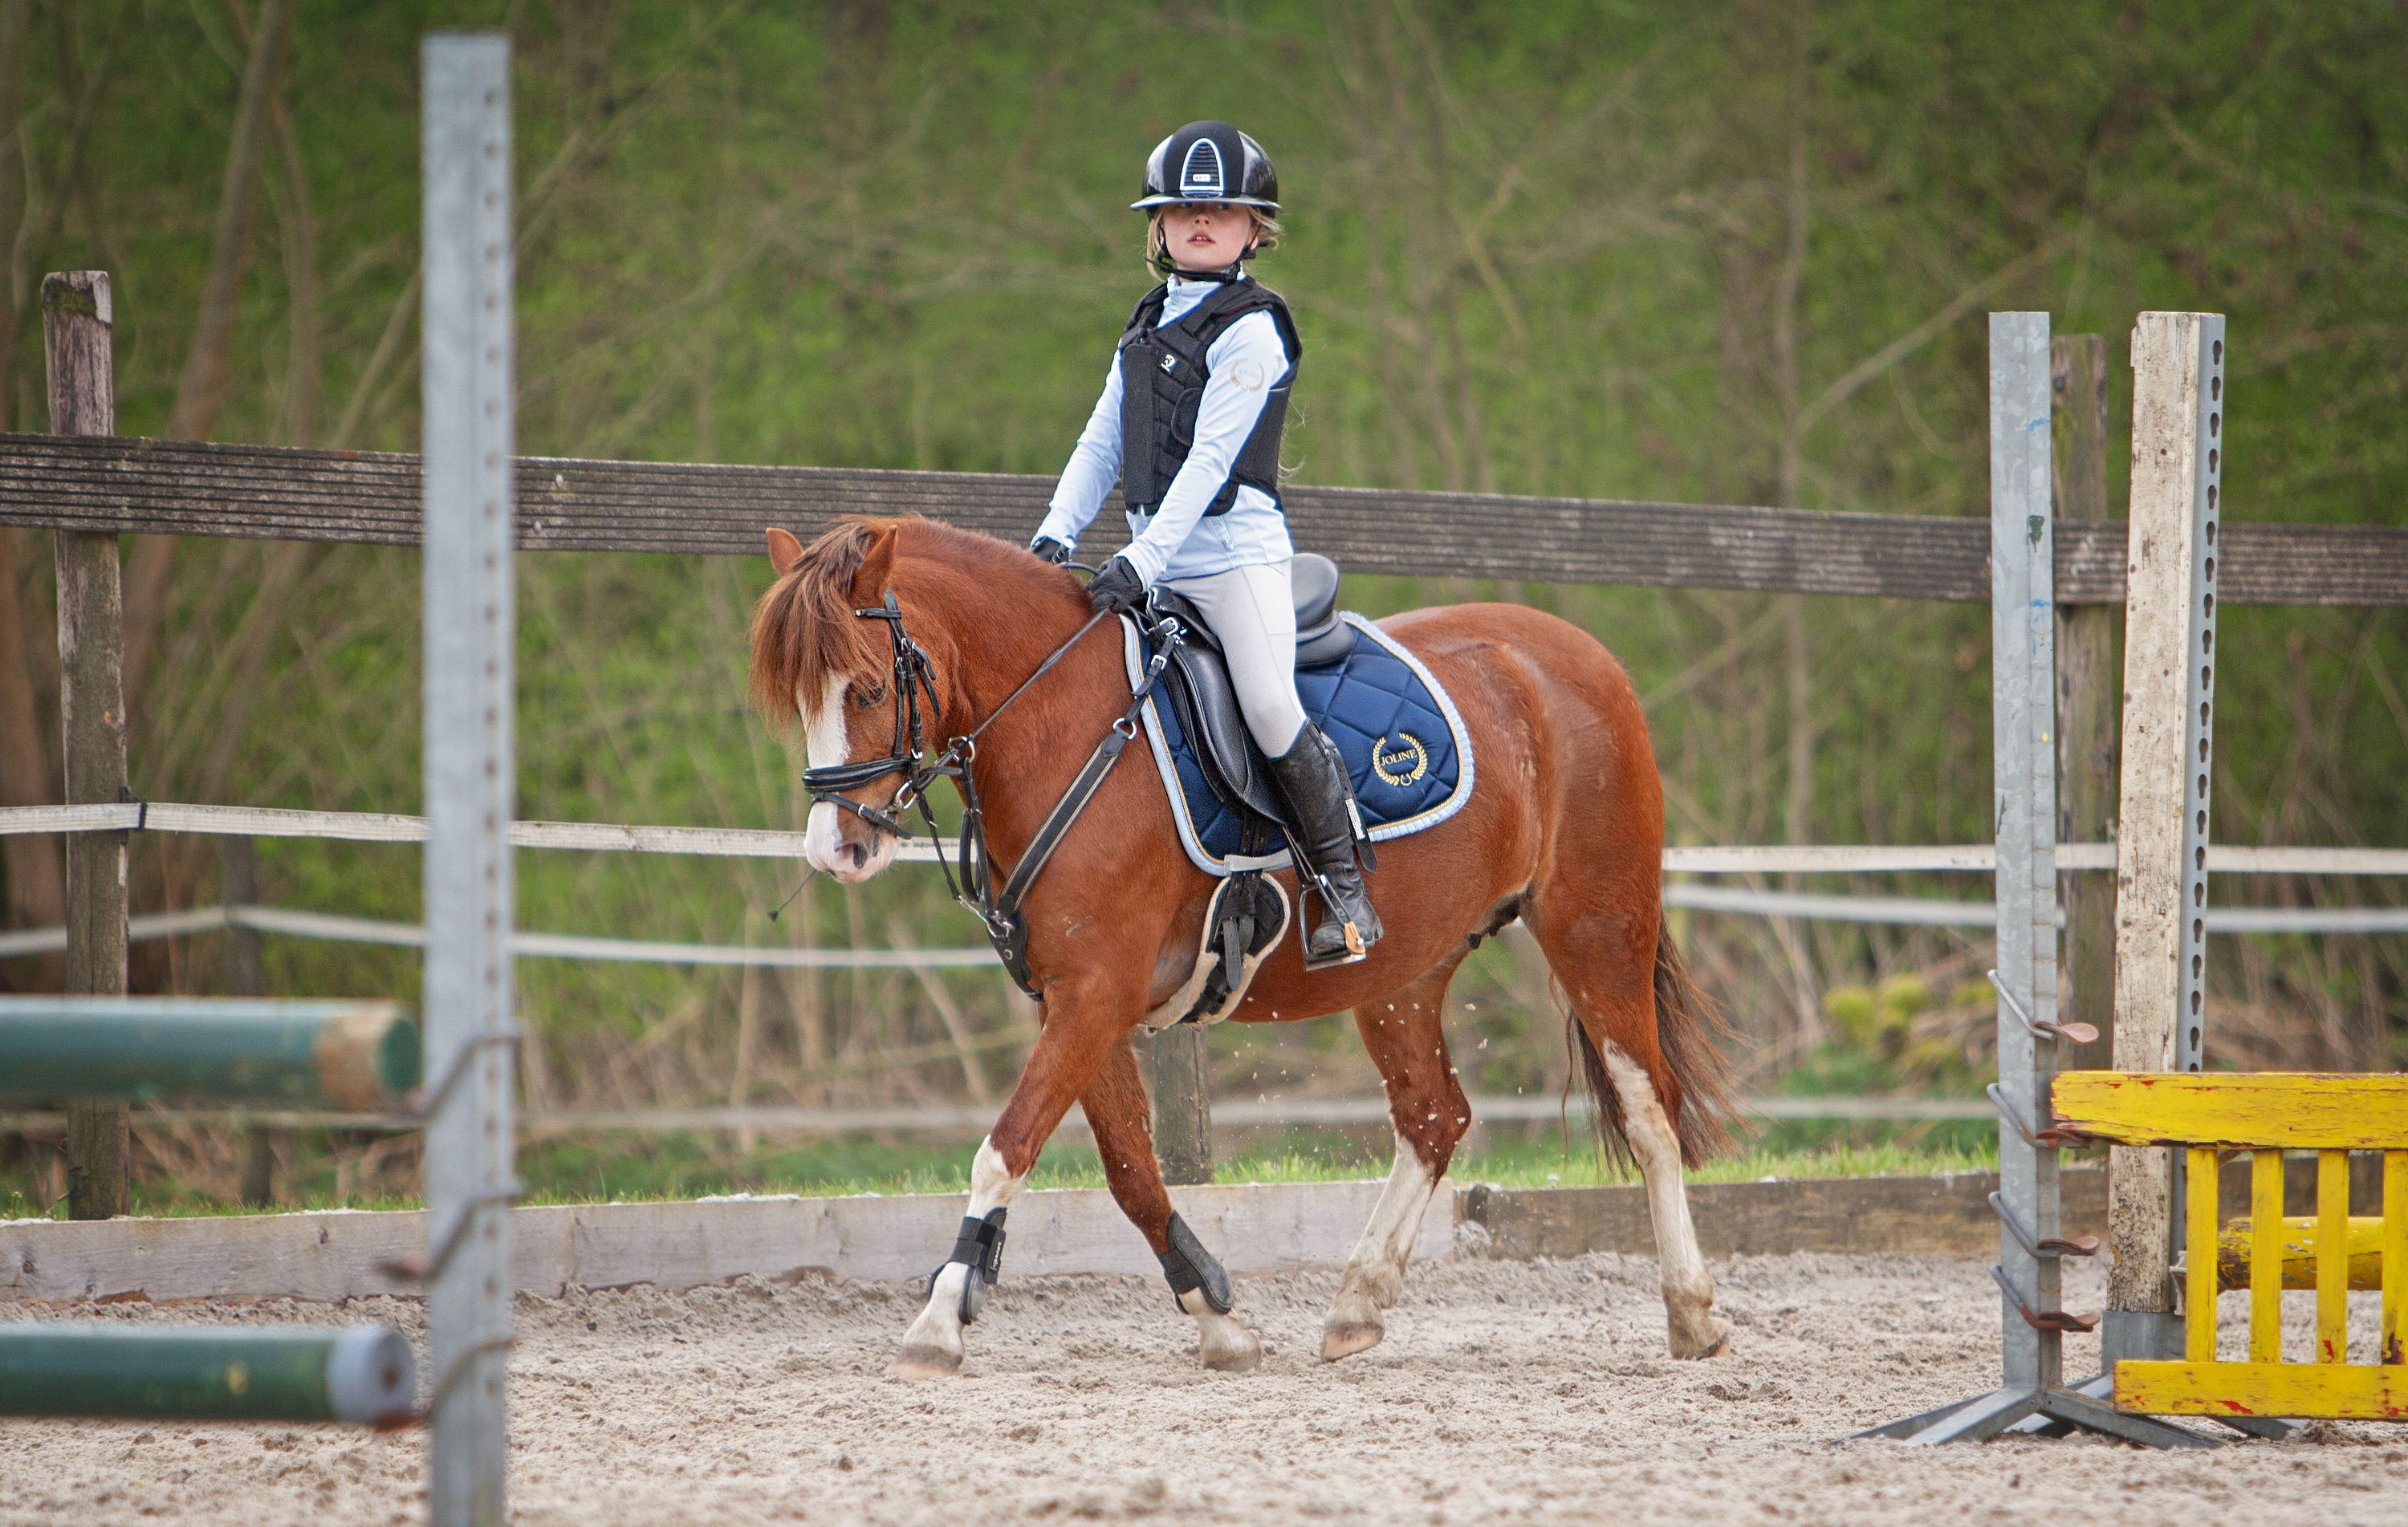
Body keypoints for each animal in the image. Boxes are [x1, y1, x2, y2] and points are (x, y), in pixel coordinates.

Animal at [748, 515, 1739, 1377]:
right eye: (799, 698)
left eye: (870, 687)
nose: (837, 850)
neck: (1064, 723)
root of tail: (1573, 651)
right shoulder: (1072, 999)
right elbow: (1131, 1172)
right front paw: (1219, 1319)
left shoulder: (1095, 995)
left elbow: (1007, 1148)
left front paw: (937, 1324)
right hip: (1406, 971)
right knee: (1433, 1117)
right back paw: (1355, 1305)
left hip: (1594, 923)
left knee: (1648, 1107)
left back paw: (1692, 1312)